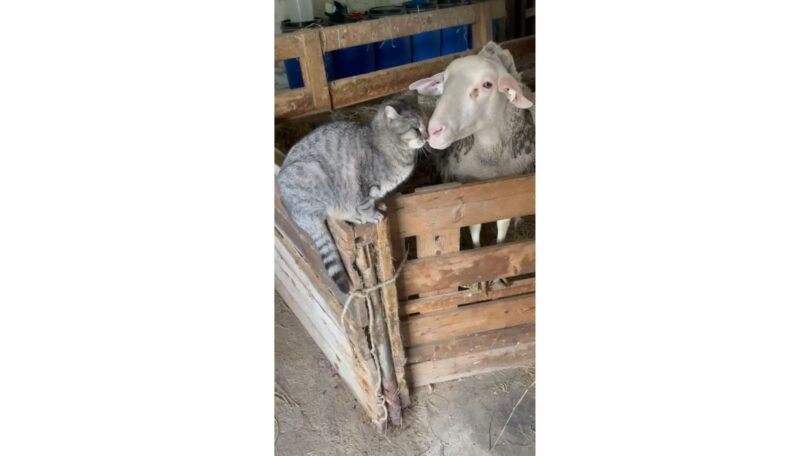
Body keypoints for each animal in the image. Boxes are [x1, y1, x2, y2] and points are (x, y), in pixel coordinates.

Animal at [278, 97, 428, 294]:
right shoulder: (364, 187)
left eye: (425, 125)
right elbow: (365, 205)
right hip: (317, 179)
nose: (427, 136)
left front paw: (378, 205)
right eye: (416, 129)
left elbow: (374, 201)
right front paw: (371, 214)